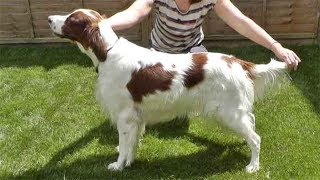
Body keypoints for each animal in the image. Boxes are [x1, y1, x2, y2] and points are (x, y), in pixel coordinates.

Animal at [48, 8, 288, 173]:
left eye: (71, 19)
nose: (49, 18)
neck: (107, 52)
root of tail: (238, 62)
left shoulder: (124, 116)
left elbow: (124, 144)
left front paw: (118, 165)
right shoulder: (136, 116)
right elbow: (132, 143)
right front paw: (130, 162)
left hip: (229, 112)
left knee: (256, 138)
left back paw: (253, 166)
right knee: (252, 125)